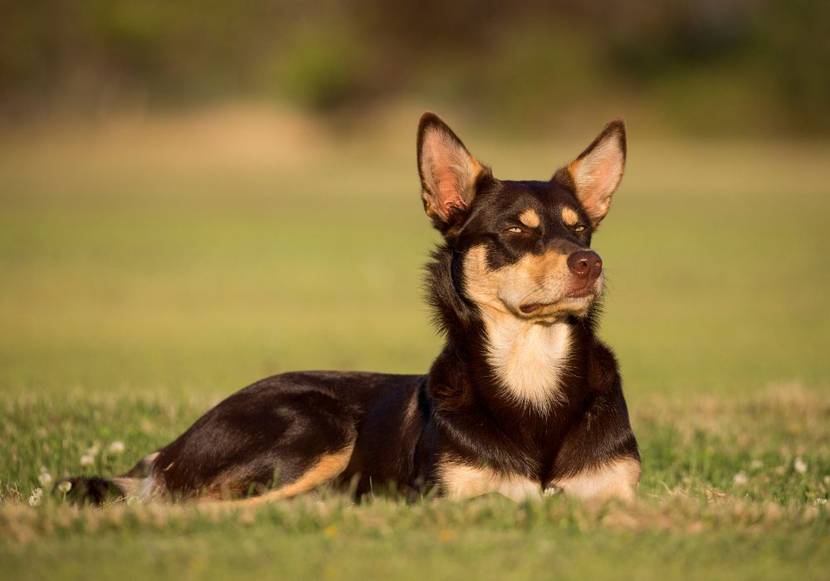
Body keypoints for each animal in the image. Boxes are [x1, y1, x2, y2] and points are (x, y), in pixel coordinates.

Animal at [60, 112, 644, 502]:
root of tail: (170, 451)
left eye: (580, 229)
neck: (532, 372)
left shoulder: (613, 493)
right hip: (314, 427)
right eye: (517, 232)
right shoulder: (450, 497)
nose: (590, 263)